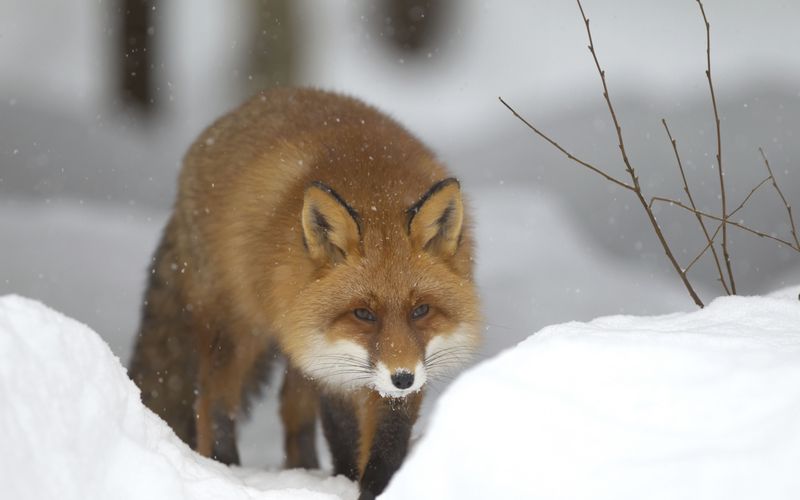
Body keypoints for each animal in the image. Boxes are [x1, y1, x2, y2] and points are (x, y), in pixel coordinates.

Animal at [130, 87, 482, 500]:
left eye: (421, 310)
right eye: (364, 314)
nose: (402, 378)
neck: (375, 188)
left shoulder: (397, 361)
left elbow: (388, 440)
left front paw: (381, 486)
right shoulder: (332, 363)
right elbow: (344, 432)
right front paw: (349, 480)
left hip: (296, 340)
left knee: (291, 408)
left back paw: (304, 469)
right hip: (240, 331)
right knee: (213, 401)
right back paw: (226, 468)